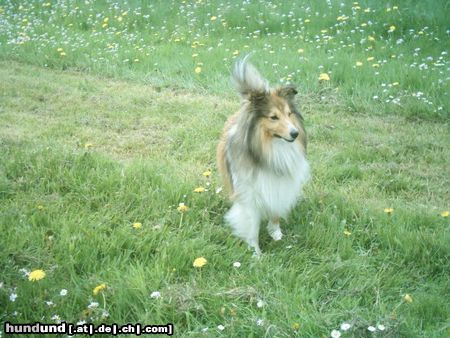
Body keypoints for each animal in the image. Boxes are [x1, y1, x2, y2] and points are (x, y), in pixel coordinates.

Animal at [217, 56, 310, 256]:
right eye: (273, 117)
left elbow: (275, 211)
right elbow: (251, 225)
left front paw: (276, 234)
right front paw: (256, 253)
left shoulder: (279, 186)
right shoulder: (249, 194)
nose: (295, 133)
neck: (271, 149)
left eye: (289, 114)